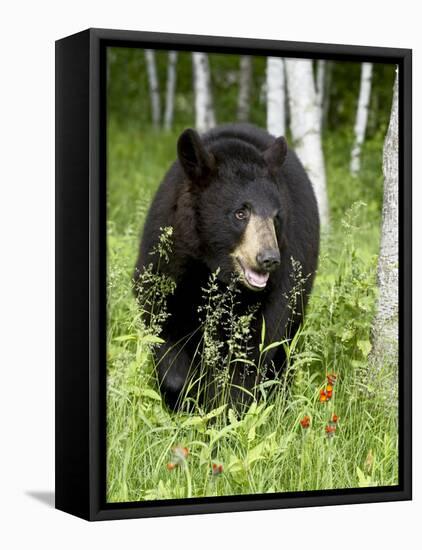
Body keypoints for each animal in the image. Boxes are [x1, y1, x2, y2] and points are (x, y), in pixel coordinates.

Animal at [135, 124, 320, 410]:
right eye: (240, 213)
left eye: (276, 217)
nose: (269, 258)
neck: (213, 269)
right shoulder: (168, 262)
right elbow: (163, 322)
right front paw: (183, 394)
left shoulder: (278, 287)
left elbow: (251, 351)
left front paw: (225, 407)